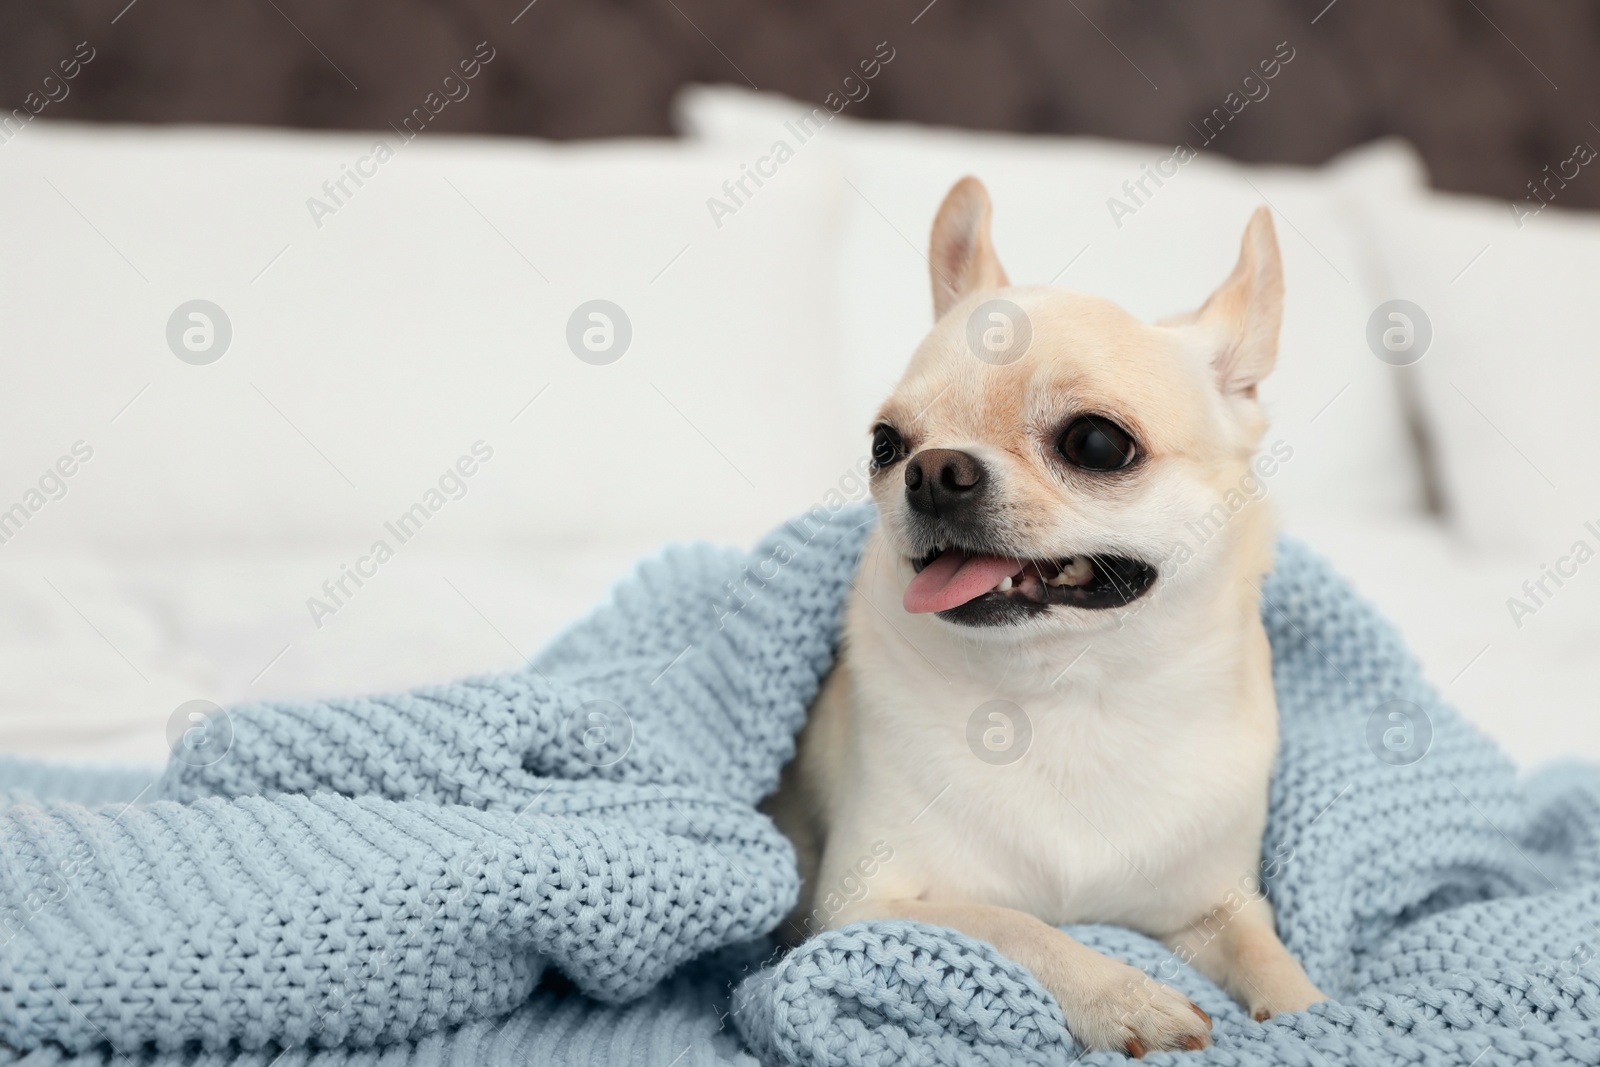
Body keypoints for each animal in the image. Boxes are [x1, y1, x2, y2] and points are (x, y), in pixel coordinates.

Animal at [764, 179, 1324, 1055]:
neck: (1069, 694)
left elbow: (1267, 953)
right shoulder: (864, 904)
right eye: (885, 445)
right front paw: (1127, 995)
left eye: (1095, 442)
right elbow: (1016, 926)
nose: (932, 470)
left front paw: (1313, 1010)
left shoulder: (1214, 904)